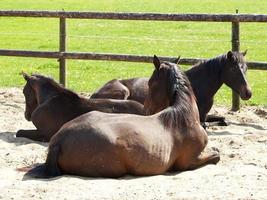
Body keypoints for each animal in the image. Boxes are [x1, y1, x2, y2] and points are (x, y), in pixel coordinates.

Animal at [23, 55, 220, 178]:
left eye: (150, 82)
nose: (147, 108)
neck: (182, 115)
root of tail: (59, 141)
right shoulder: (188, 162)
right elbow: (216, 155)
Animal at [90, 50, 253, 127]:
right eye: (233, 69)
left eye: (246, 68)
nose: (248, 93)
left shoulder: (204, 115)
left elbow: (223, 120)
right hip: (123, 91)